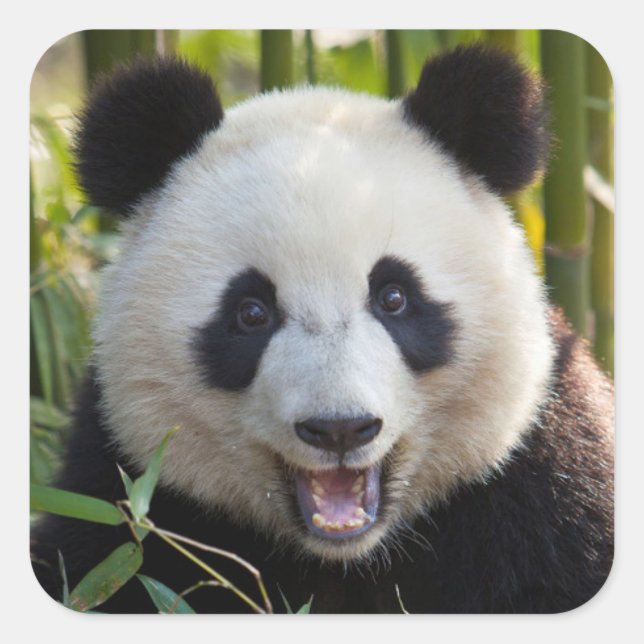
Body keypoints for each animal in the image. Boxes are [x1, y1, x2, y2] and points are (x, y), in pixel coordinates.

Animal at [31, 45, 614, 614]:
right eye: (251, 312)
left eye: (394, 297)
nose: (340, 429)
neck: (347, 557)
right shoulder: (124, 501)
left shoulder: (541, 488)